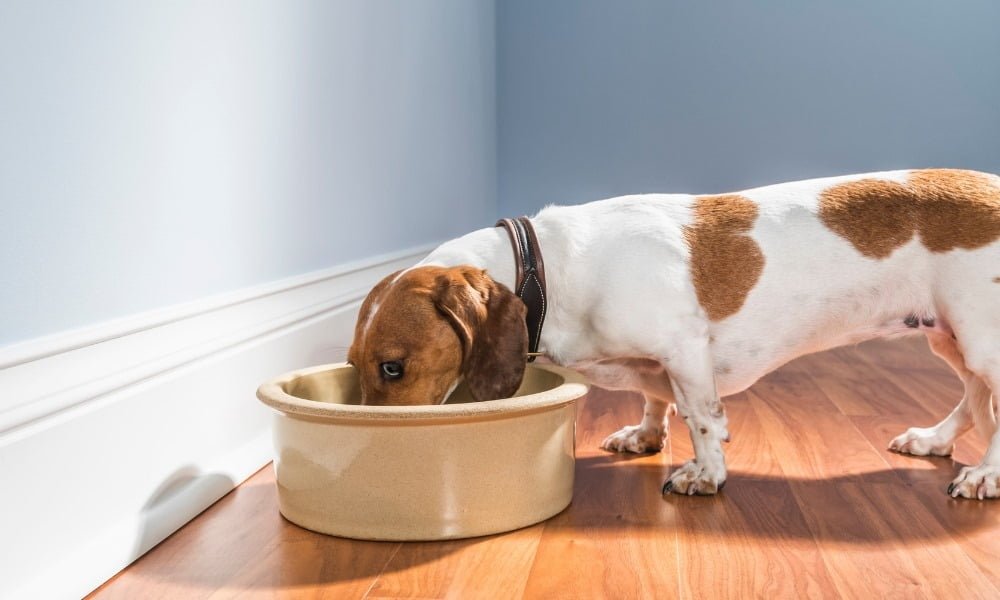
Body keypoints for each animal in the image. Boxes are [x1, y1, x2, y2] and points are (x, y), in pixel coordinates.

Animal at [346, 168, 1000, 496]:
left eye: (393, 367)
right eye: (355, 364)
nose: (372, 449)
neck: (549, 268)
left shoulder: (684, 350)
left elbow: (701, 417)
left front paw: (705, 474)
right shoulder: (654, 366)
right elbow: (653, 399)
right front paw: (644, 434)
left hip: (980, 340)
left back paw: (985, 475)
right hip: (950, 339)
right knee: (974, 405)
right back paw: (933, 441)